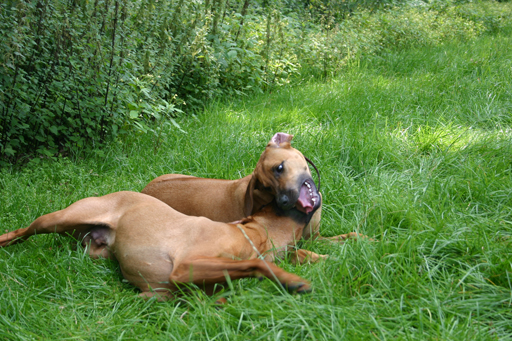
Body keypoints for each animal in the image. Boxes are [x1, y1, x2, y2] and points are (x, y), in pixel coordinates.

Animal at [0, 191, 320, 300]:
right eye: (273, 203)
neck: (250, 236)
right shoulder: (185, 266)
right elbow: (255, 263)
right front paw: (290, 280)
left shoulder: (163, 295)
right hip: (58, 219)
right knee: (23, 230)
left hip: (95, 251)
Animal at [142, 131, 354, 262]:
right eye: (267, 188)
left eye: (279, 168)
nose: (283, 202)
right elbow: (300, 253)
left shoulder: (314, 237)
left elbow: (346, 236)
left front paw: (359, 241)